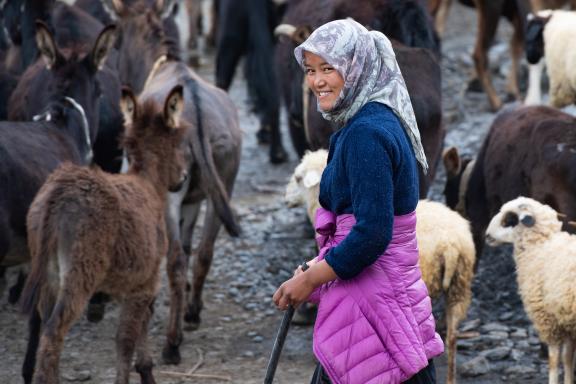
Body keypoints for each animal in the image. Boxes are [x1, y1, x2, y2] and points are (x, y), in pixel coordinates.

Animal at [19, 85, 189, 384]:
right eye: (179, 144)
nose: (184, 177)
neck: (147, 182)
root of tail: (59, 193)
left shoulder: (130, 285)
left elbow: (141, 325)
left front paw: (146, 371)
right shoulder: (145, 281)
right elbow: (125, 340)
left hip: (49, 274)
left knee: (45, 325)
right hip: (80, 272)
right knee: (54, 330)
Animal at [488, 196, 576, 384]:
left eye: (509, 220)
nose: (487, 236)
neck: (540, 246)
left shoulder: (548, 318)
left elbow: (554, 359)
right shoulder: (565, 318)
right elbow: (567, 357)